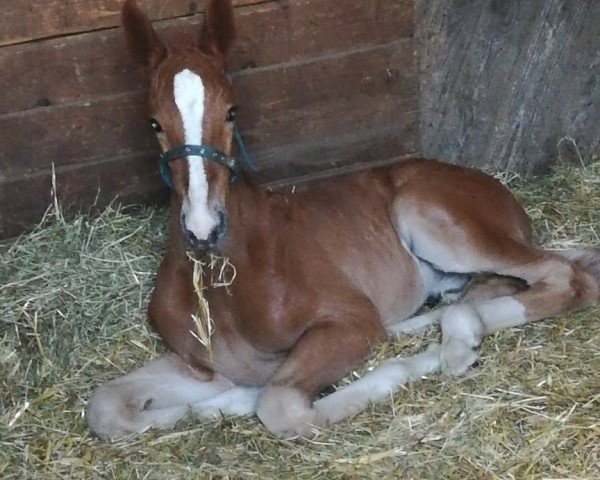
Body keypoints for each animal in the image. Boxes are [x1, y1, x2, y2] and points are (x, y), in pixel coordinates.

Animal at [85, 0, 600, 438]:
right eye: (154, 122)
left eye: (232, 111)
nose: (202, 228)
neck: (225, 286)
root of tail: (494, 186)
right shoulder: (199, 365)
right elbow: (105, 407)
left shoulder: (349, 321)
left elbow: (281, 405)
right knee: (498, 285)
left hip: (436, 222)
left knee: (563, 276)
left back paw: (459, 339)